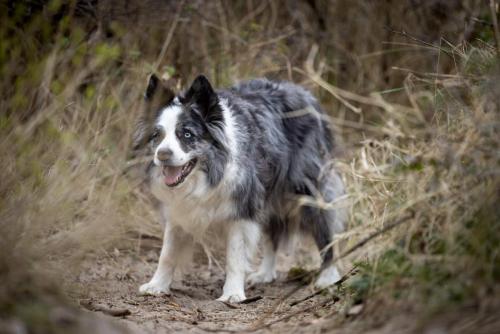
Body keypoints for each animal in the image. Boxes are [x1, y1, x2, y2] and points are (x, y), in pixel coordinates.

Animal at [131, 73, 346, 302]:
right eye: (157, 135)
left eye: (187, 134)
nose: (162, 154)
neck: (207, 174)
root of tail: (304, 93)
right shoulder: (180, 209)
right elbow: (167, 253)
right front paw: (157, 285)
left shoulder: (242, 209)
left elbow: (235, 256)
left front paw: (232, 294)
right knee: (273, 232)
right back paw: (265, 274)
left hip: (308, 190)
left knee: (324, 231)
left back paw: (327, 277)